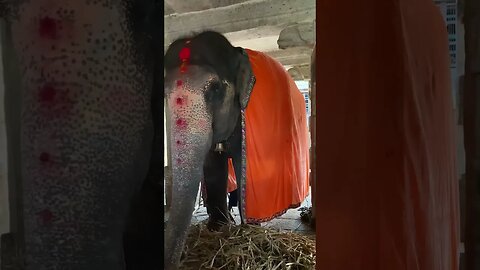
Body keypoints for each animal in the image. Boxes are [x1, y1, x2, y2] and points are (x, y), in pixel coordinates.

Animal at [163, 31, 310, 268]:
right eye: (165, 94)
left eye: (215, 88)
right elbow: (212, 165)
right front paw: (219, 227)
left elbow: (243, 163)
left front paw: (248, 228)